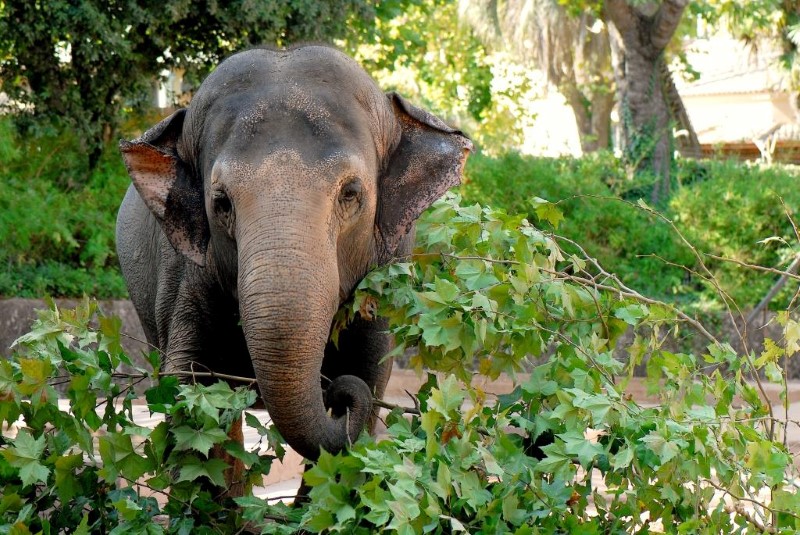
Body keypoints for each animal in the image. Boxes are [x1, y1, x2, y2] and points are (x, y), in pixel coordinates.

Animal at [115, 46, 472, 464]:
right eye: (221, 203)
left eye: (351, 193)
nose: (335, 393)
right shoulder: (185, 271)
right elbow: (188, 389)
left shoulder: (387, 268)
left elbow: (369, 378)